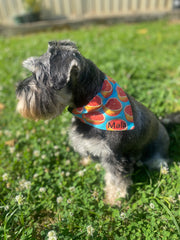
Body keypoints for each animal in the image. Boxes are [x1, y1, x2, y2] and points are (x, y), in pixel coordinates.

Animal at [15, 40, 176, 205]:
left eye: (39, 76)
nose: (18, 90)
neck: (91, 107)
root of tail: (163, 124)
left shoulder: (115, 157)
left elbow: (116, 181)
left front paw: (114, 200)